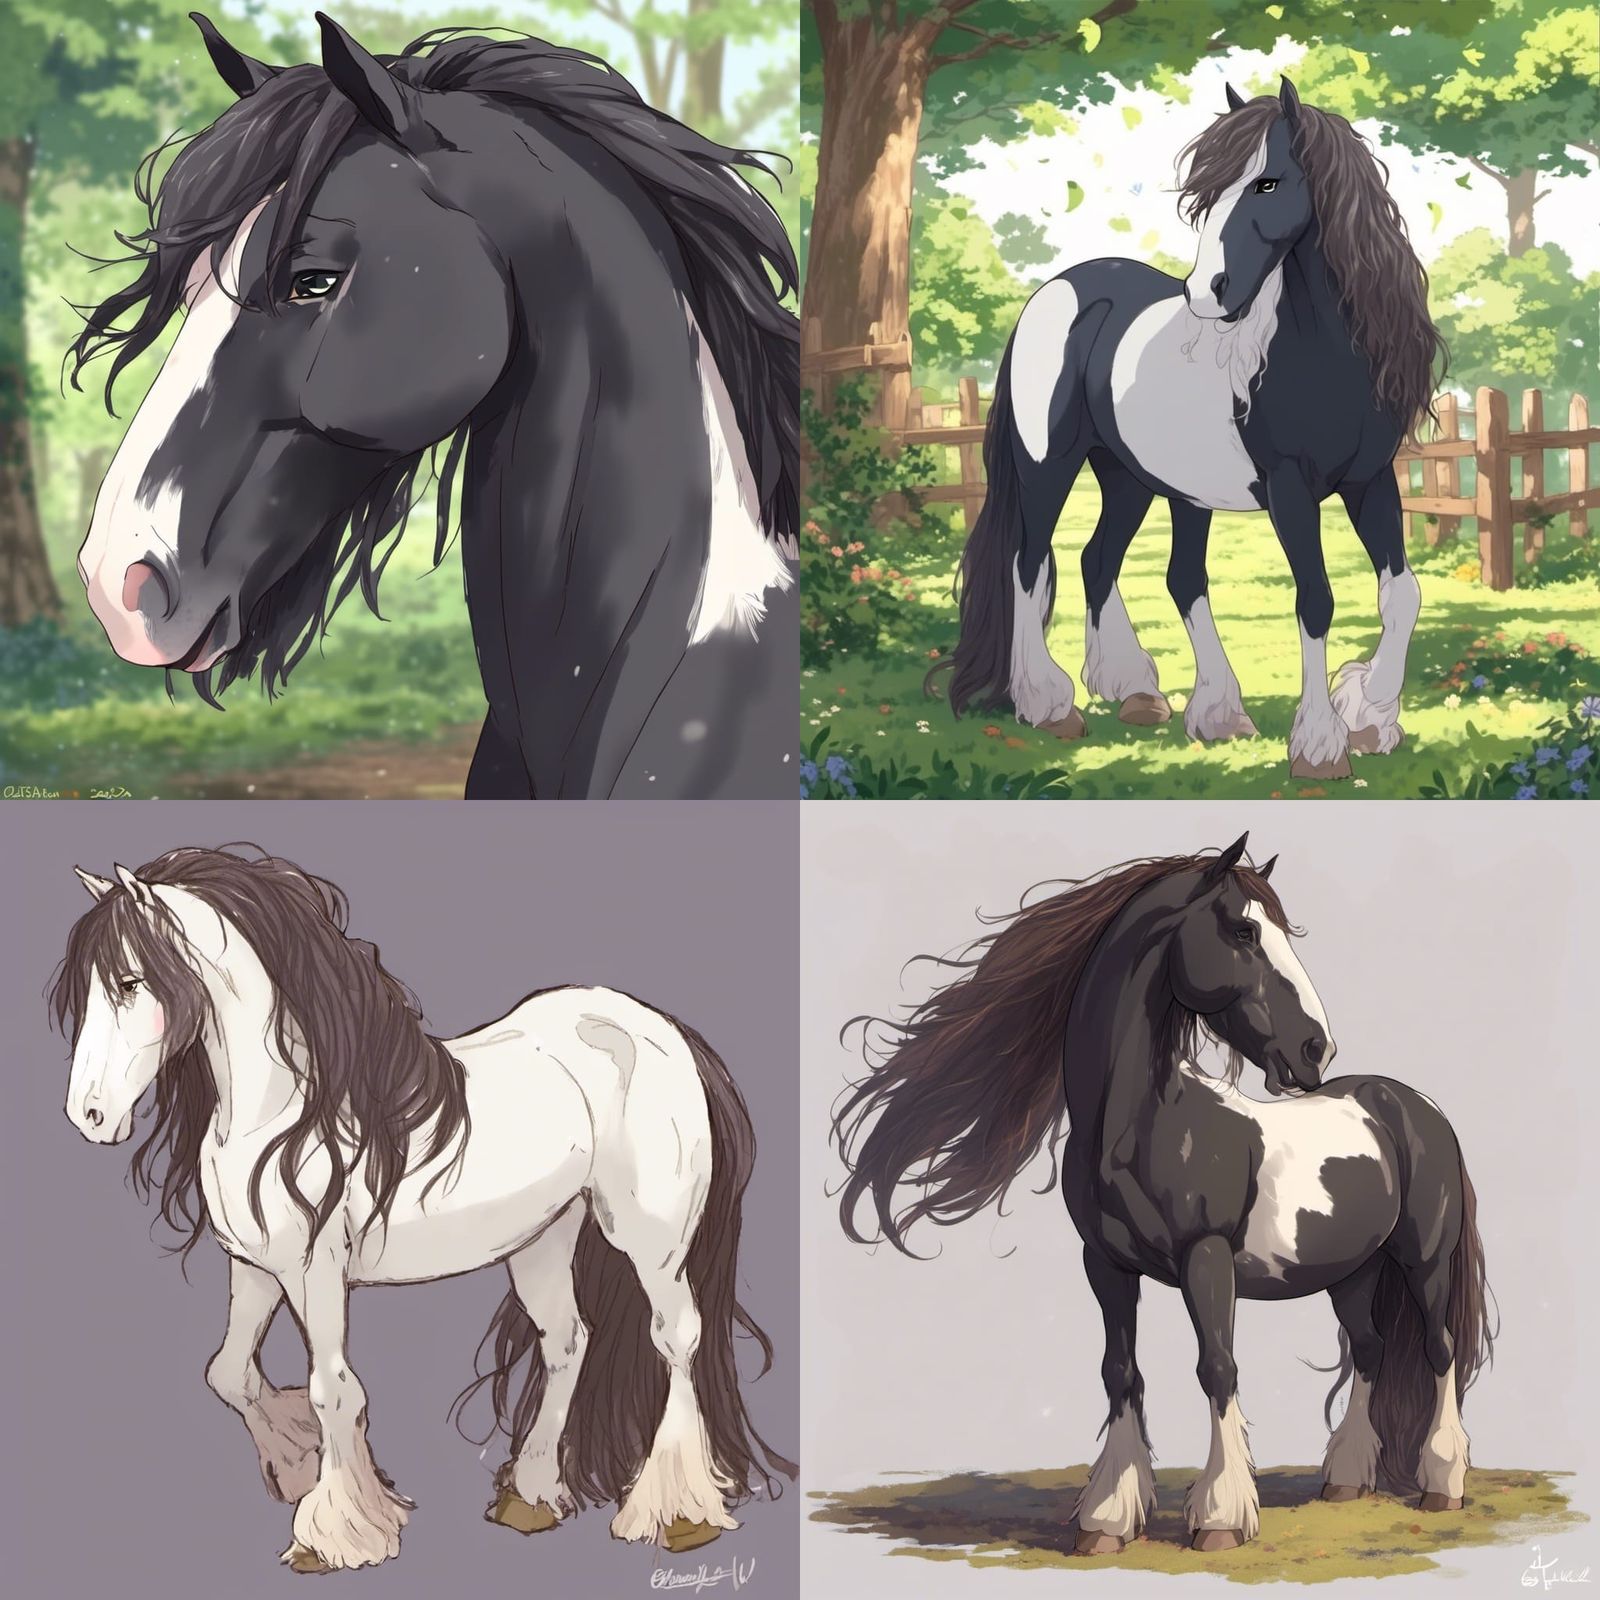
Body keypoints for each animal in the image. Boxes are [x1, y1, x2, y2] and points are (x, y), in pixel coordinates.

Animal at [51, 845, 791, 1574]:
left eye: (129, 982)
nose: (89, 1116)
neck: (286, 1113)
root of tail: (663, 1032)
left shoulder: (316, 1273)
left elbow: (332, 1390)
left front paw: (338, 1534)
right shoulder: (256, 1268)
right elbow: (229, 1372)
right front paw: (298, 1467)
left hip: (651, 1242)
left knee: (676, 1338)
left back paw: (680, 1515)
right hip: (543, 1239)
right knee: (568, 1341)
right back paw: (531, 1498)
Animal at [833, 833, 1492, 1555]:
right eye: (1243, 930)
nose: (1315, 1048)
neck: (1145, 1125)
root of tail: (1411, 1105)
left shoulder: (1206, 1260)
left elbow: (1218, 1368)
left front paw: (1220, 1517)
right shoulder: (1105, 1264)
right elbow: (1120, 1371)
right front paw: (1106, 1520)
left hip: (1423, 1260)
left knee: (1439, 1349)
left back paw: (1442, 1486)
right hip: (1351, 1270)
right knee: (1372, 1349)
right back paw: (1345, 1481)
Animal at [934, 80, 1444, 781]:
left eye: (1267, 182)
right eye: (1204, 195)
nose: (1207, 291)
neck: (1316, 356)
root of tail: (1057, 290)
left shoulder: (1370, 481)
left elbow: (1403, 595)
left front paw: (1370, 713)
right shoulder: (1290, 490)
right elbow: (1315, 599)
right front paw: (1320, 743)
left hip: (1133, 477)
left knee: (1119, 563)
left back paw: (1152, 696)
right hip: (1048, 466)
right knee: (1030, 563)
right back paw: (1049, 704)